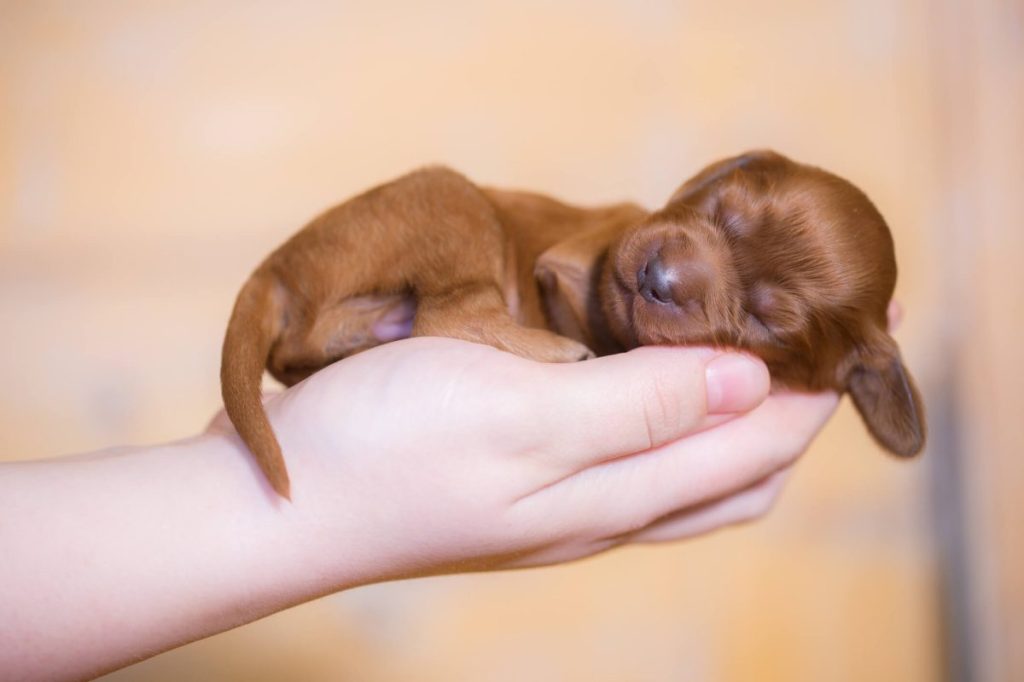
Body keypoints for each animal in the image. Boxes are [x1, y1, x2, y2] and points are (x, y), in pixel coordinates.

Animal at [224, 151, 929, 497]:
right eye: (720, 208)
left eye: (763, 318)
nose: (657, 276)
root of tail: (275, 267)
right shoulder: (570, 261)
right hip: (452, 199)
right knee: (448, 310)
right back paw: (556, 351)